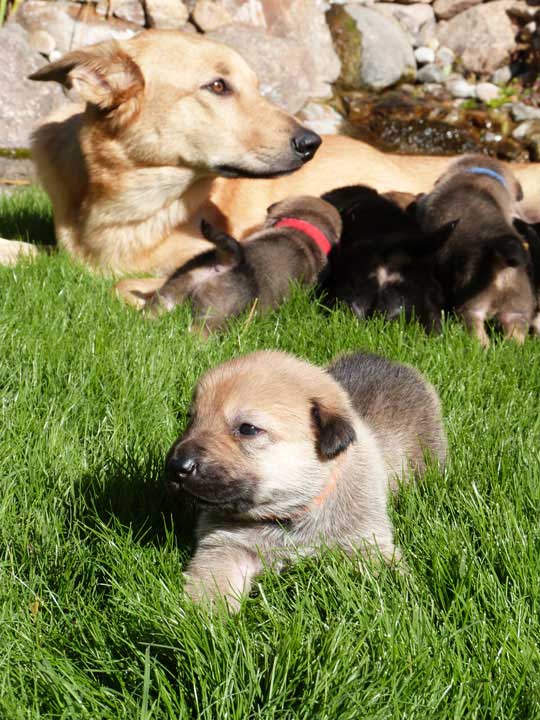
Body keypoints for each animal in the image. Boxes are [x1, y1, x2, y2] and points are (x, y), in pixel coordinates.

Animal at [166, 348, 448, 608]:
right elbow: (211, 589)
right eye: (192, 419)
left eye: (248, 429)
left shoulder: (366, 542)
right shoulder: (224, 547)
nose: (177, 466)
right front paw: (200, 620)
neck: (289, 516)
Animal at [416, 154, 532, 346]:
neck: (477, 173)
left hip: (472, 304)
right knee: (515, 335)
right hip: (517, 308)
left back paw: (480, 346)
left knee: (476, 329)